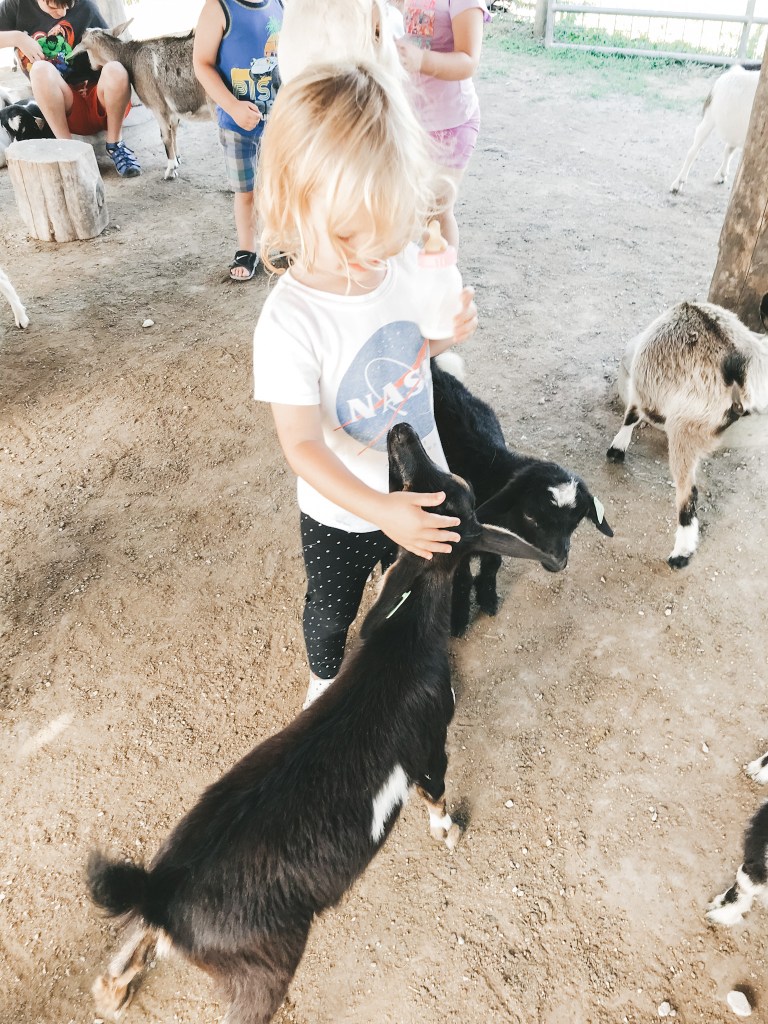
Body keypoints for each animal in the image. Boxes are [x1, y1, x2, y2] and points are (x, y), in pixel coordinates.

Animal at [85, 421, 552, 1024]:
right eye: (427, 489)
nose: (402, 429)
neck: (403, 637)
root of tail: (164, 896)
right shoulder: (430, 743)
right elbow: (437, 793)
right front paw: (449, 834)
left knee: (137, 940)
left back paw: (113, 989)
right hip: (264, 968)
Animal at [606, 299, 768, 569]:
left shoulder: (644, 391)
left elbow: (632, 414)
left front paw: (616, 448)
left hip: (685, 427)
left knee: (688, 494)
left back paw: (681, 553)